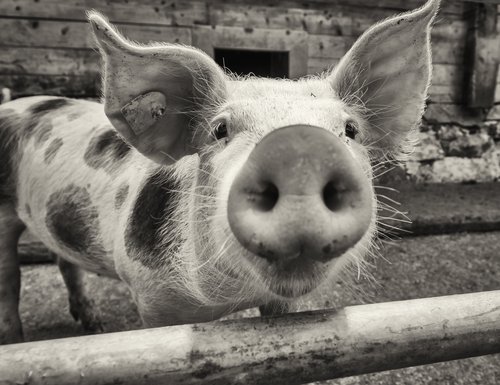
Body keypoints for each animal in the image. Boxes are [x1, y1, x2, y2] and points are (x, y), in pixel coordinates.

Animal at [0, 0, 438, 342]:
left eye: (350, 129)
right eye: (220, 130)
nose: (300, 148)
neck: (226, 300)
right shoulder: (149, 296)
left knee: (63, 260)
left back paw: (94, 325)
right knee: (11, 284)